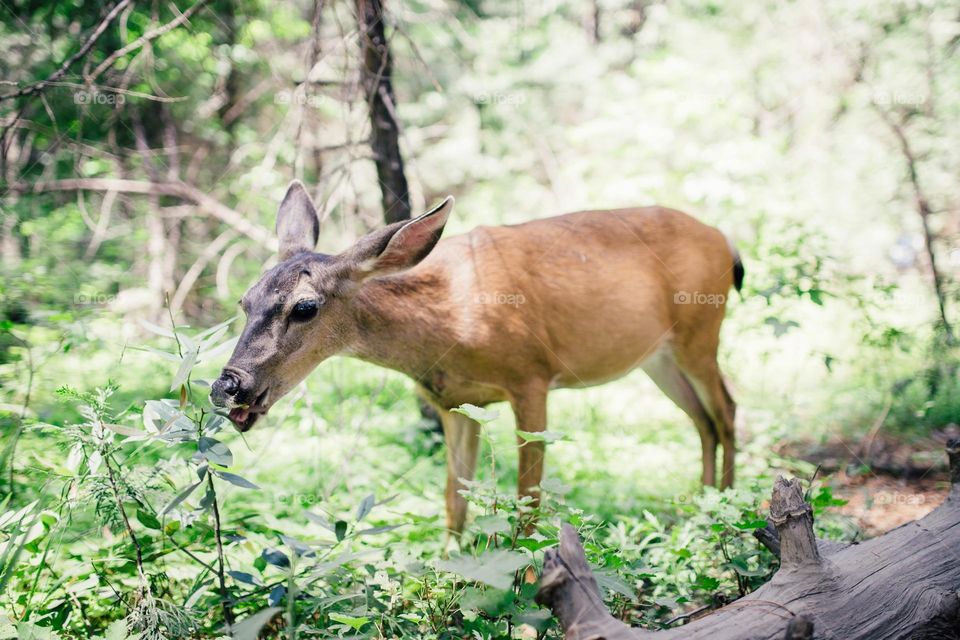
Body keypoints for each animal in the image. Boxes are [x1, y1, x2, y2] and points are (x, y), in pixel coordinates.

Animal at [210, 181, 743, 536]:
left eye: (305, 307)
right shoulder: (452, 403)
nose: (227, 385)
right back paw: (701, 509)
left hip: (701, 332)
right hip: (658, 357)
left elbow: (527, 500)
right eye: (244, 300)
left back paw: (727, 513)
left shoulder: (531, 377)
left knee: (727, 410)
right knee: (702, 419)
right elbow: (454, 501)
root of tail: (725, 238)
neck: (450, 319)